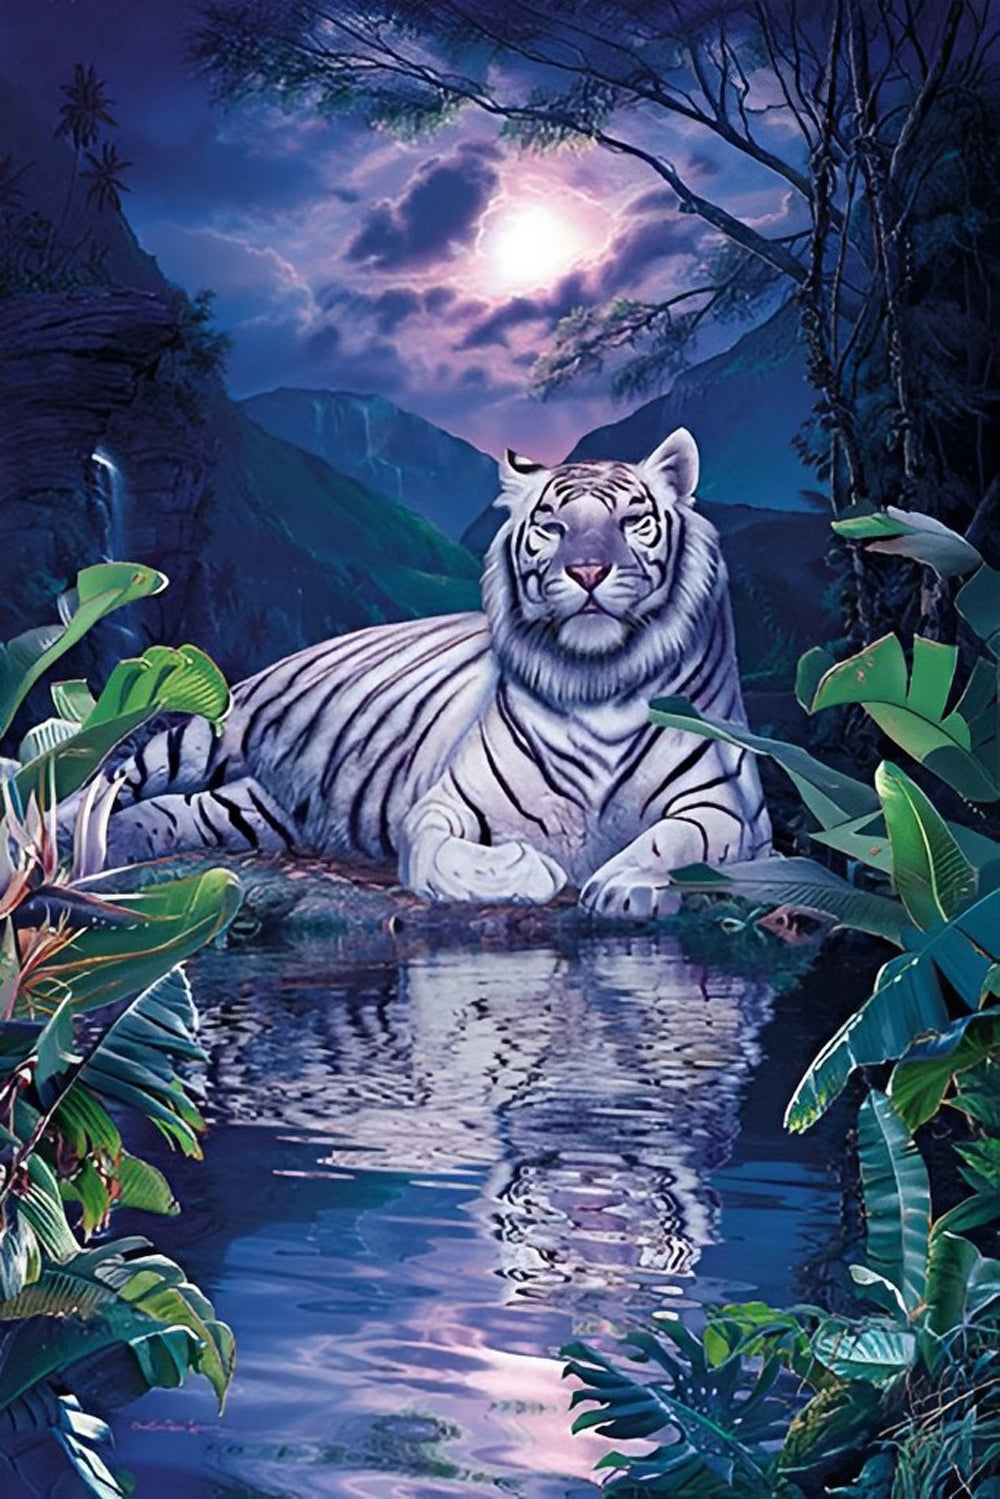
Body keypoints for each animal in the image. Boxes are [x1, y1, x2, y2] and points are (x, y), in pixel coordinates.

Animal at [100, 427, 771, 916]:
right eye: (552, 527)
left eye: (633, 521)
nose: (586, 572)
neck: (595, 681)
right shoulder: (441, 804)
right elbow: (435, 854)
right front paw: (531, 867)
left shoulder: (731, 808)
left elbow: (676, 838)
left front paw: (623, 883)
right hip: (212, 728)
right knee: (113, 773)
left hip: (256, 810)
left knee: (175, 810)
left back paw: (117, 841)